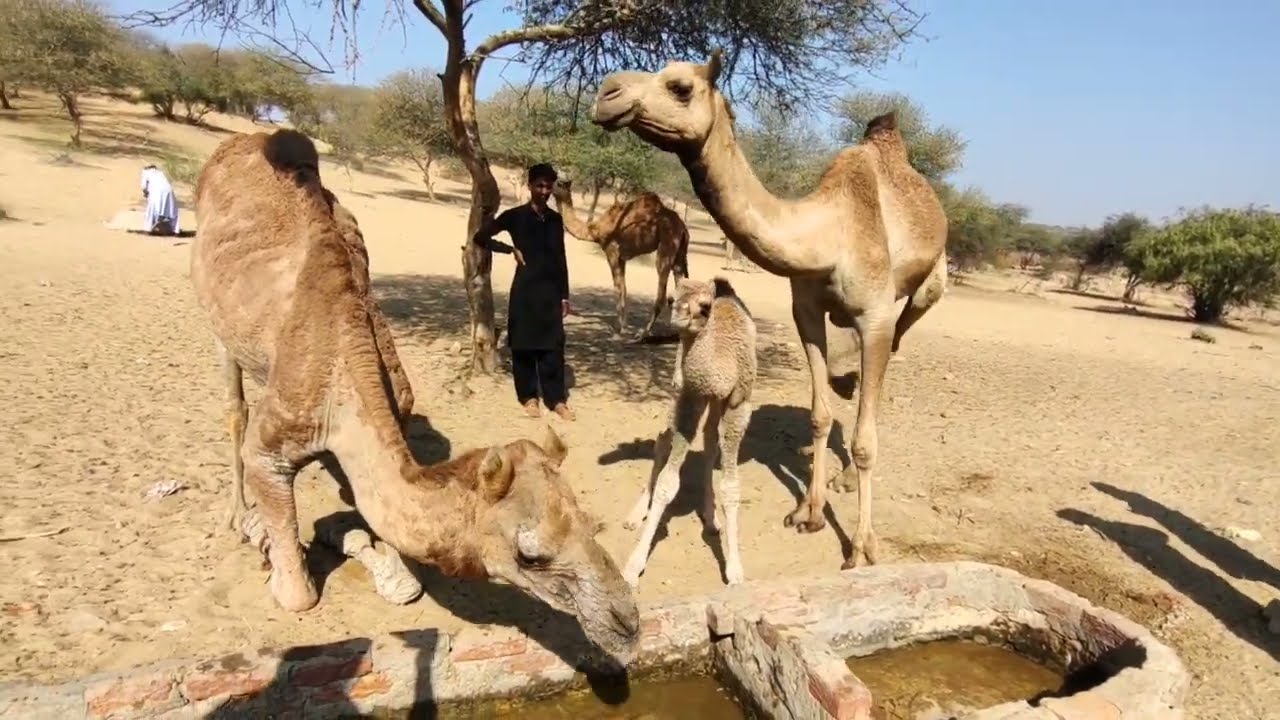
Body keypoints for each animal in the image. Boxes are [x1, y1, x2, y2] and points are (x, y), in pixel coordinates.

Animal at [188, 129, 640, 663]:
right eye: (530, 555)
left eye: (591, 524)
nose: (628, 623)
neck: (346, 379)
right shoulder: (275, 438)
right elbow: (298, 594)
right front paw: (268, 541)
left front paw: (366, 550)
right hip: (215, 318)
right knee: (235, 408)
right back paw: (237, 515)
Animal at [551, 179, 690, 339]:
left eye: (559, 183)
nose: (549, 186)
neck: (594, 230)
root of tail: (683, 228)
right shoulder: (622, 258)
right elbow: (624, 288)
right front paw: (625, 326)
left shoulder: (611, 250)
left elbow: (617, 288)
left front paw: (619, 330)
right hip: (680, 255)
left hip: (666, 245)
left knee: (662, 291)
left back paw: (643, 334)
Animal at [621, 277, 756, 587]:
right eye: (672, 299)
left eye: (706, 305)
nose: (684, 317)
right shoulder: (691, 396)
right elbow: (667, 483)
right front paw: (633, 567)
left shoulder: (738, 405)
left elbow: (731, 486)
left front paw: (735, 570)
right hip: (679, 387)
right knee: (663, 440)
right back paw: (635, 515)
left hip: (715, 403)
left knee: (709, 442)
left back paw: (711, 518)